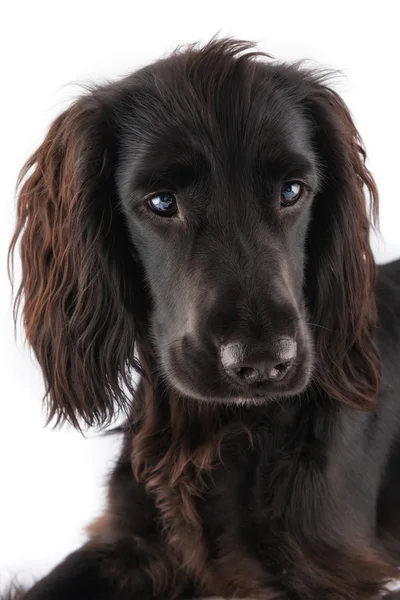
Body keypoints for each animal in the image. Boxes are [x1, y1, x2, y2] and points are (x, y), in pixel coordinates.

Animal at [5, 38, 400, 600]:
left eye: (292, 191)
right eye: (161, 201)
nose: (263, 363)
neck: (210, 433)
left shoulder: (319, 572)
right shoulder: (133, 541)